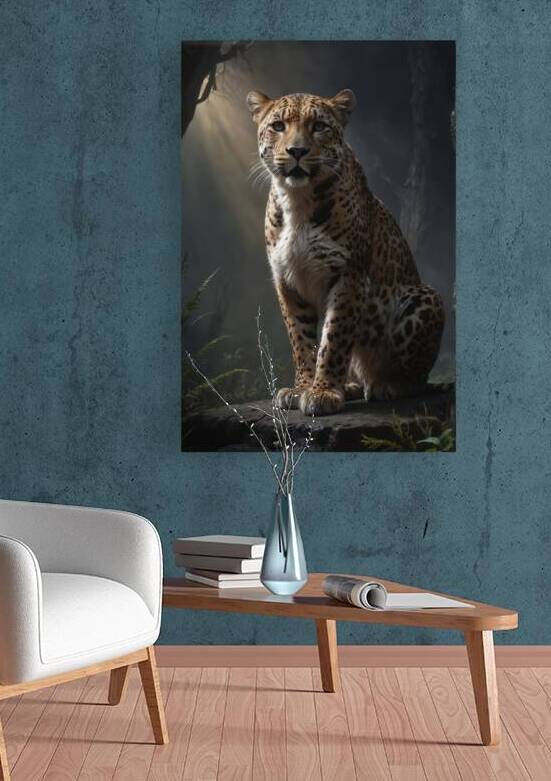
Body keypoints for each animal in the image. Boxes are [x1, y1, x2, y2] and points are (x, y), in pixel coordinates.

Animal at [246, 88, 445, 417]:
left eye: (319, 127)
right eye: (277, 126)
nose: (296, 151)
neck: (297, 198)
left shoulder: (347, 275)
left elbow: (334, 338)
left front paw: (323, 392)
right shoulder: (286, 281)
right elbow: (302, 341)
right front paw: (302, 388)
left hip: (424, 297)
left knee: (418, 379)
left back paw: (387, 385)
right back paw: (351, 386)